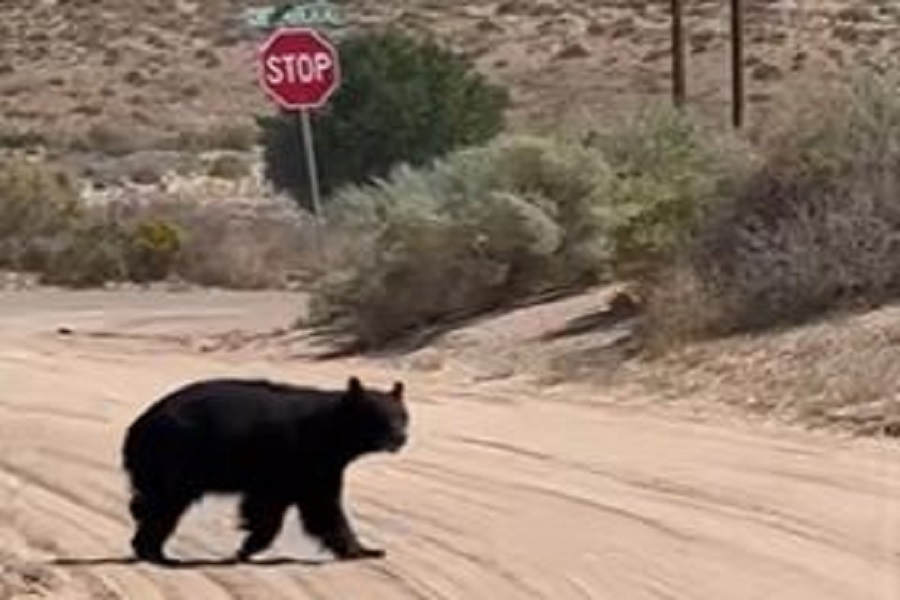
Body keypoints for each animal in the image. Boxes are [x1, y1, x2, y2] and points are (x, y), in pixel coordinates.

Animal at [122, 375, 408, 566]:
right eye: (380, 417)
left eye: (402, 416)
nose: (400, 438)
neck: (332, 433)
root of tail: (136, 427)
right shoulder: (293, 454)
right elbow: (298, 506)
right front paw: (246, 549)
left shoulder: (317, 466)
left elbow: (312, 506)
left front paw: (366, 549)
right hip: (175, 455)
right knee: (165, 504)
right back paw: (156, 553)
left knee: (152, 504)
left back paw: (153, 549)